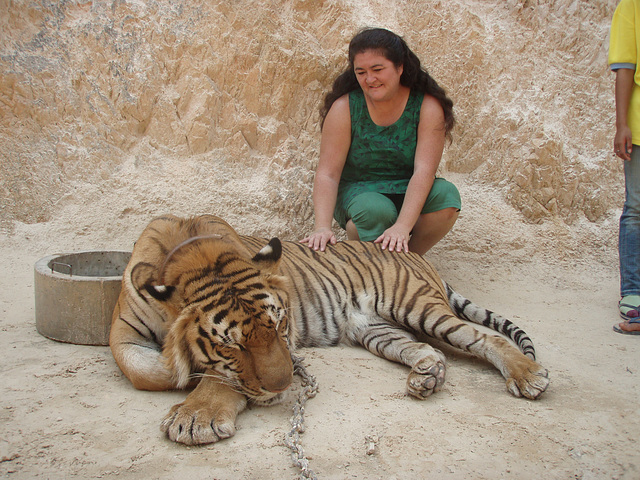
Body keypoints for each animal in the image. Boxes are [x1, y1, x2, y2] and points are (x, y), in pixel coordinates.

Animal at [110, 215, 552, 446]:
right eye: (232, 346)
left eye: (280, 325)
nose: (283, 386)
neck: (193, 251)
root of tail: (411, 252)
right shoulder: (122, 337)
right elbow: (147, 370)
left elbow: (196, 374)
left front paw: (195, 414)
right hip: (374, 329)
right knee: (426, 349)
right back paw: (426, 377)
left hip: (417, 305)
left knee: (484, 337)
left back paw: (528, 376)